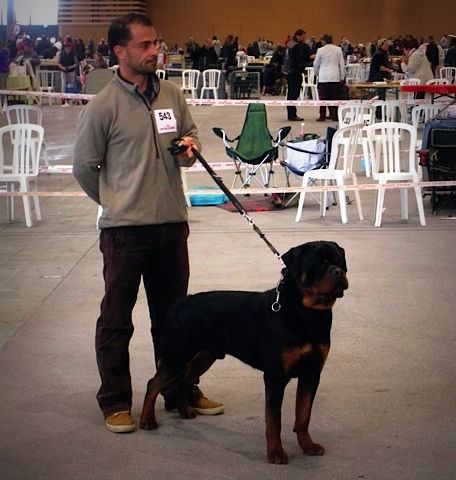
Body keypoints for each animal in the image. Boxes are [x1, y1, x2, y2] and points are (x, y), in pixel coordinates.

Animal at [141, 242, 348, 464]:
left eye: (339, 262)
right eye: (318, 263)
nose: (338, 272)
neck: (305, 313)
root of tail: (181, 303)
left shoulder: (312, 374)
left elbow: (303, 415)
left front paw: (308, 446)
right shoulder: (275, 376)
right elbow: (274, 420)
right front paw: (276, 453)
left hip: (205, 355)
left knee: (183, 380)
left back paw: (185, 411)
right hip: (177, 356)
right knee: (153, 383)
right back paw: (147, 420)